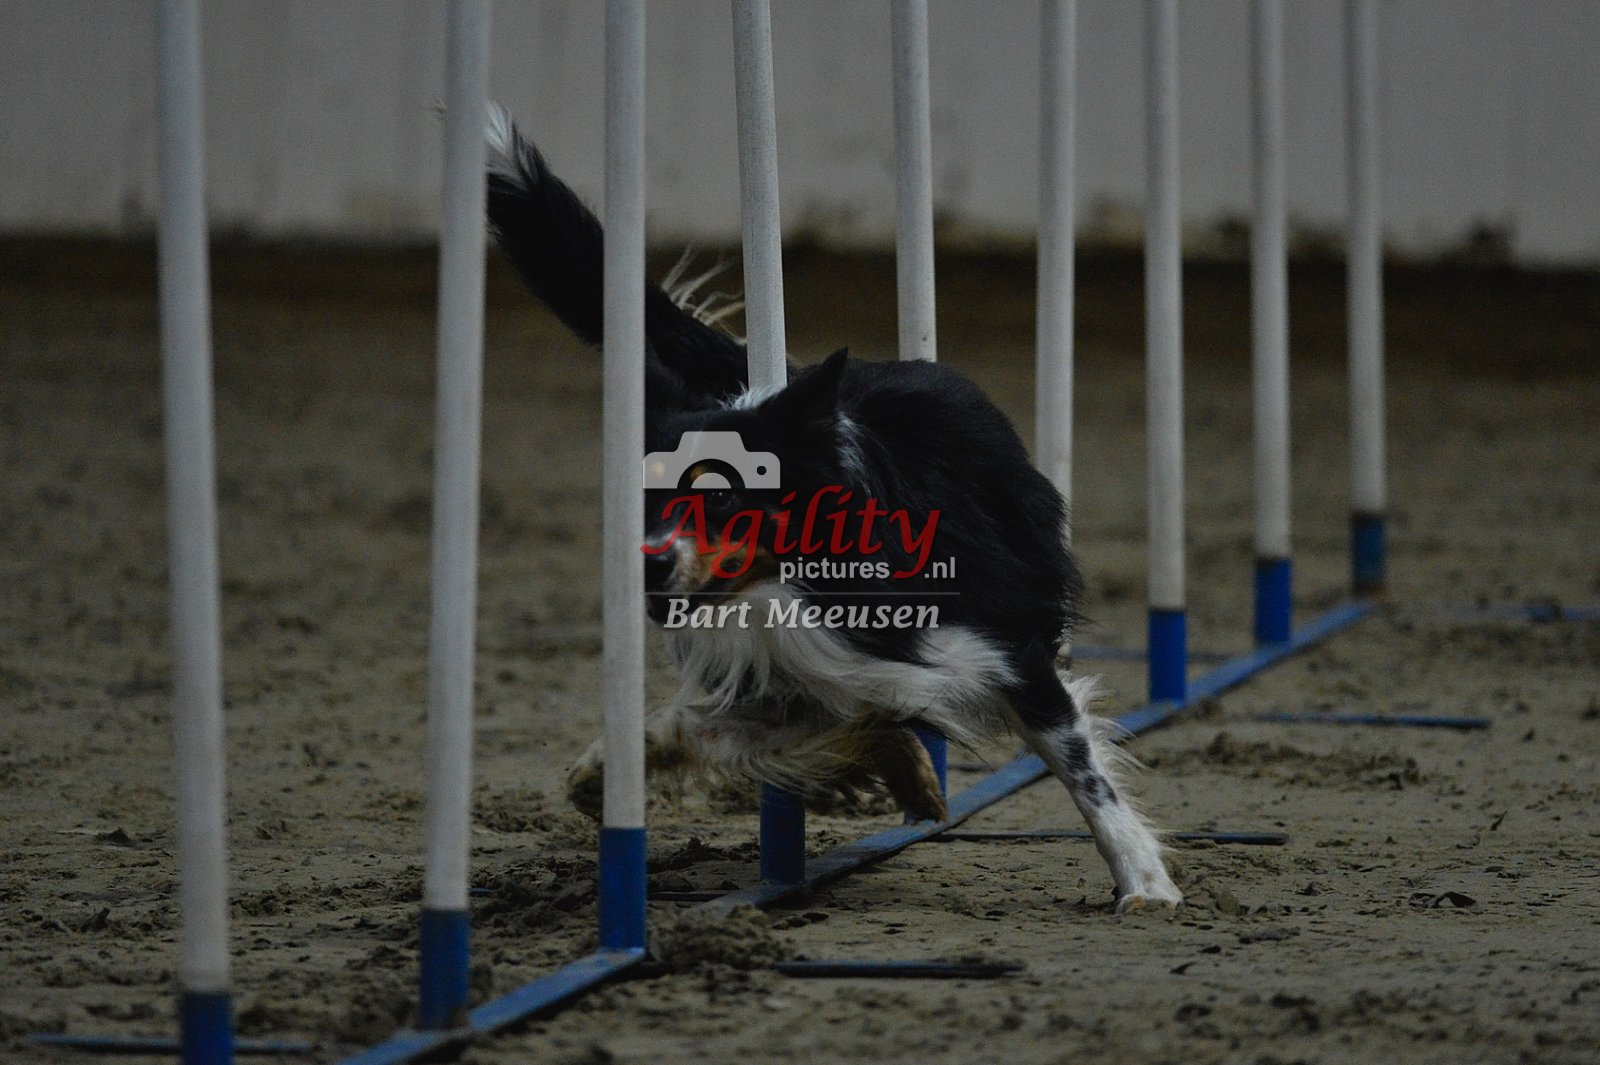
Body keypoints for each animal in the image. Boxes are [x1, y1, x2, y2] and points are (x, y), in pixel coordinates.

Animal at [484, 104, 1181, 911]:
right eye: (643, 495)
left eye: (725, 493)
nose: (650, 566)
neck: (789, 581)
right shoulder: (800, 676)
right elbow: (706, 726)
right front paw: (605, 774)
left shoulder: (1001, 648)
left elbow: (1080, 766)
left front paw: (1143, 881)